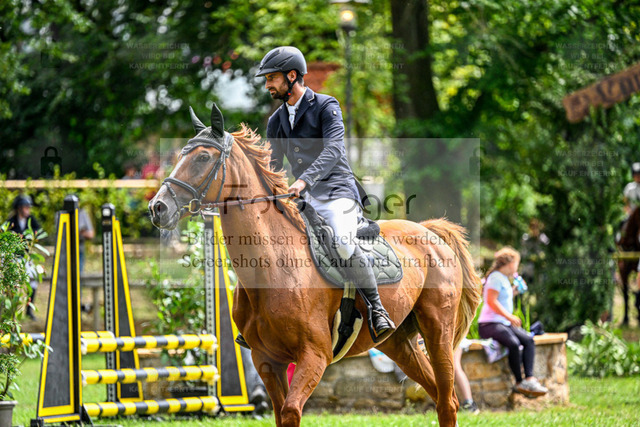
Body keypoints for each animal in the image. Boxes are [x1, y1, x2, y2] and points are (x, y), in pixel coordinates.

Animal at [148, 105, 482, 427]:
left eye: (203, 157)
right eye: (180, 155)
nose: (157, 208)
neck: (273, 268)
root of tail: (429, 230)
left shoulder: (314, 356)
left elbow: (290, 412)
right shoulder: (266, 360)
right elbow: (280, 414)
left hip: (438, 332)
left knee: (447, 402)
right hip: (399, 344)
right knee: (440, 397)